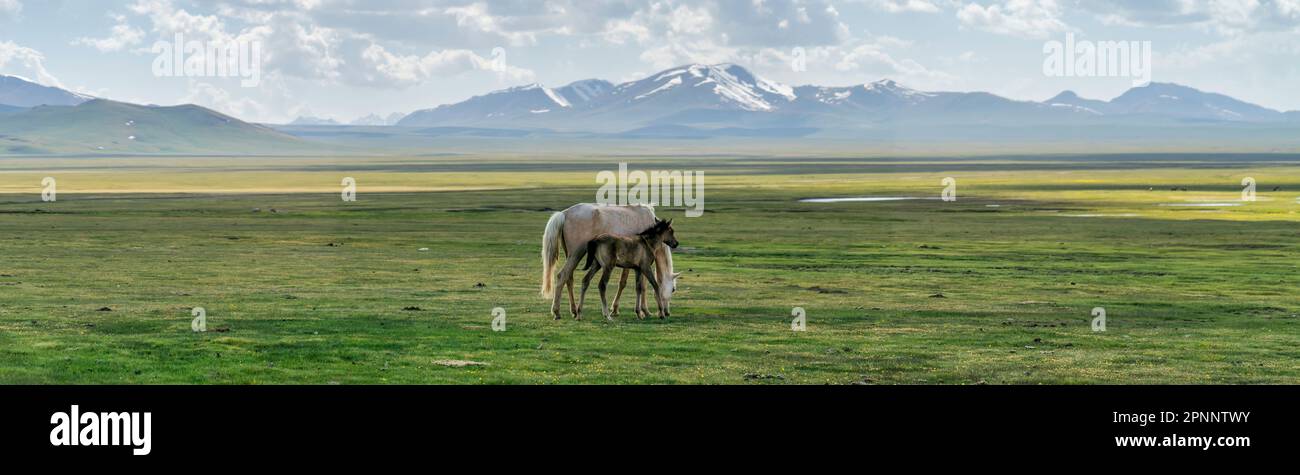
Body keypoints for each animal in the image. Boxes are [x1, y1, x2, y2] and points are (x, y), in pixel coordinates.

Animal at [541, 203, 679, 317]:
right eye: (673, 289)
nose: (667, 312)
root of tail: (564, 213)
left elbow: (632, 284)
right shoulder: (640, 264)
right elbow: (636, 285)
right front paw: (644, 311)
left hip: (571, 255)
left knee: (569, 278)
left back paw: (574, 310)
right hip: (576, 254)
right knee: (562, 276)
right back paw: (557, 311)